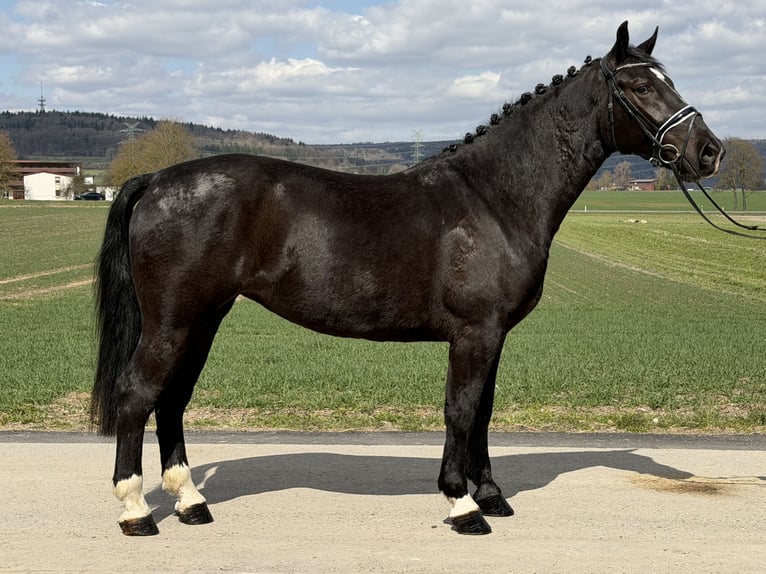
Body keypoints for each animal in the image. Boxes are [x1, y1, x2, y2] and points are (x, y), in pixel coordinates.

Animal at [91, 21, 723, 536]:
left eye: (668, 79)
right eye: (640, 87)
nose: (710, 152)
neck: (494, 197)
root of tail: (156, 179)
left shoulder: (492, 335)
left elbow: (483, 411)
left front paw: (490, 496)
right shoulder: (473, 334)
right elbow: (461, 411)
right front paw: (462, 506)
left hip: (203, 318)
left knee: (172, 400)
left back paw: (191, 502)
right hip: (173, 321)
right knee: (136, 395)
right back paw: (136, 510)